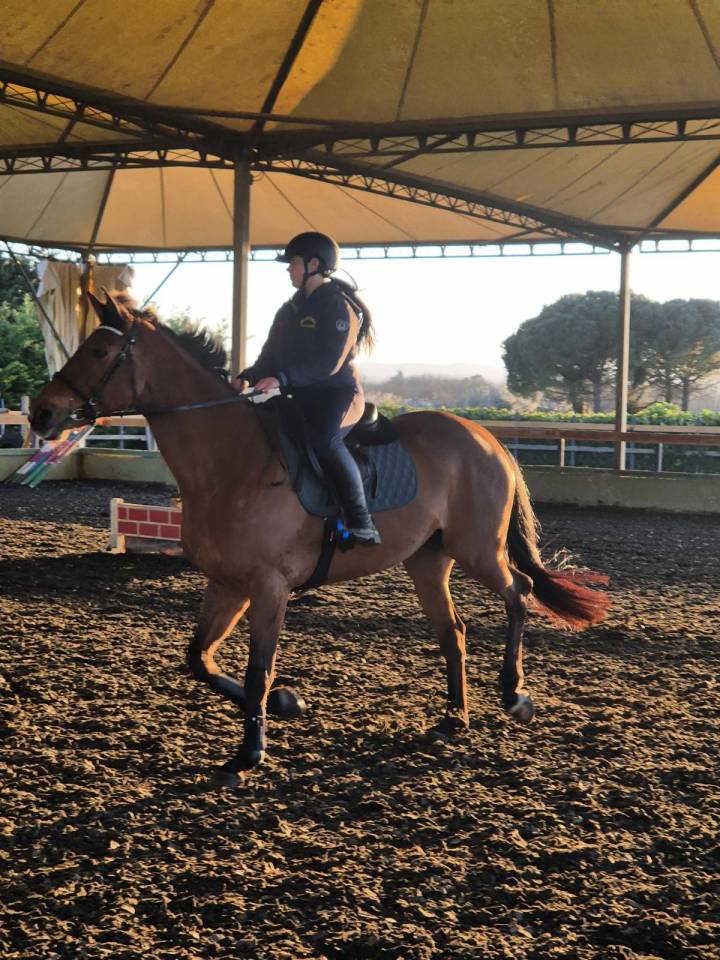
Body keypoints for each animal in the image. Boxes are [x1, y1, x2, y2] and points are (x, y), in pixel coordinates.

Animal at [30, 291, 610, 780]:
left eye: (100, 349)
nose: (41, 412)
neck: (231, 462)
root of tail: (487, 438)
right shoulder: (227, 583)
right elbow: (199, 659)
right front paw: (286, 706)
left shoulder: (268, 587)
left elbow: (259, 669)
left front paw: (249, 752)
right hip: (428, 561)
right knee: (455, 631)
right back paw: (454, 718)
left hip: (477, 550)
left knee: (520, 593)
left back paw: (513, 695)